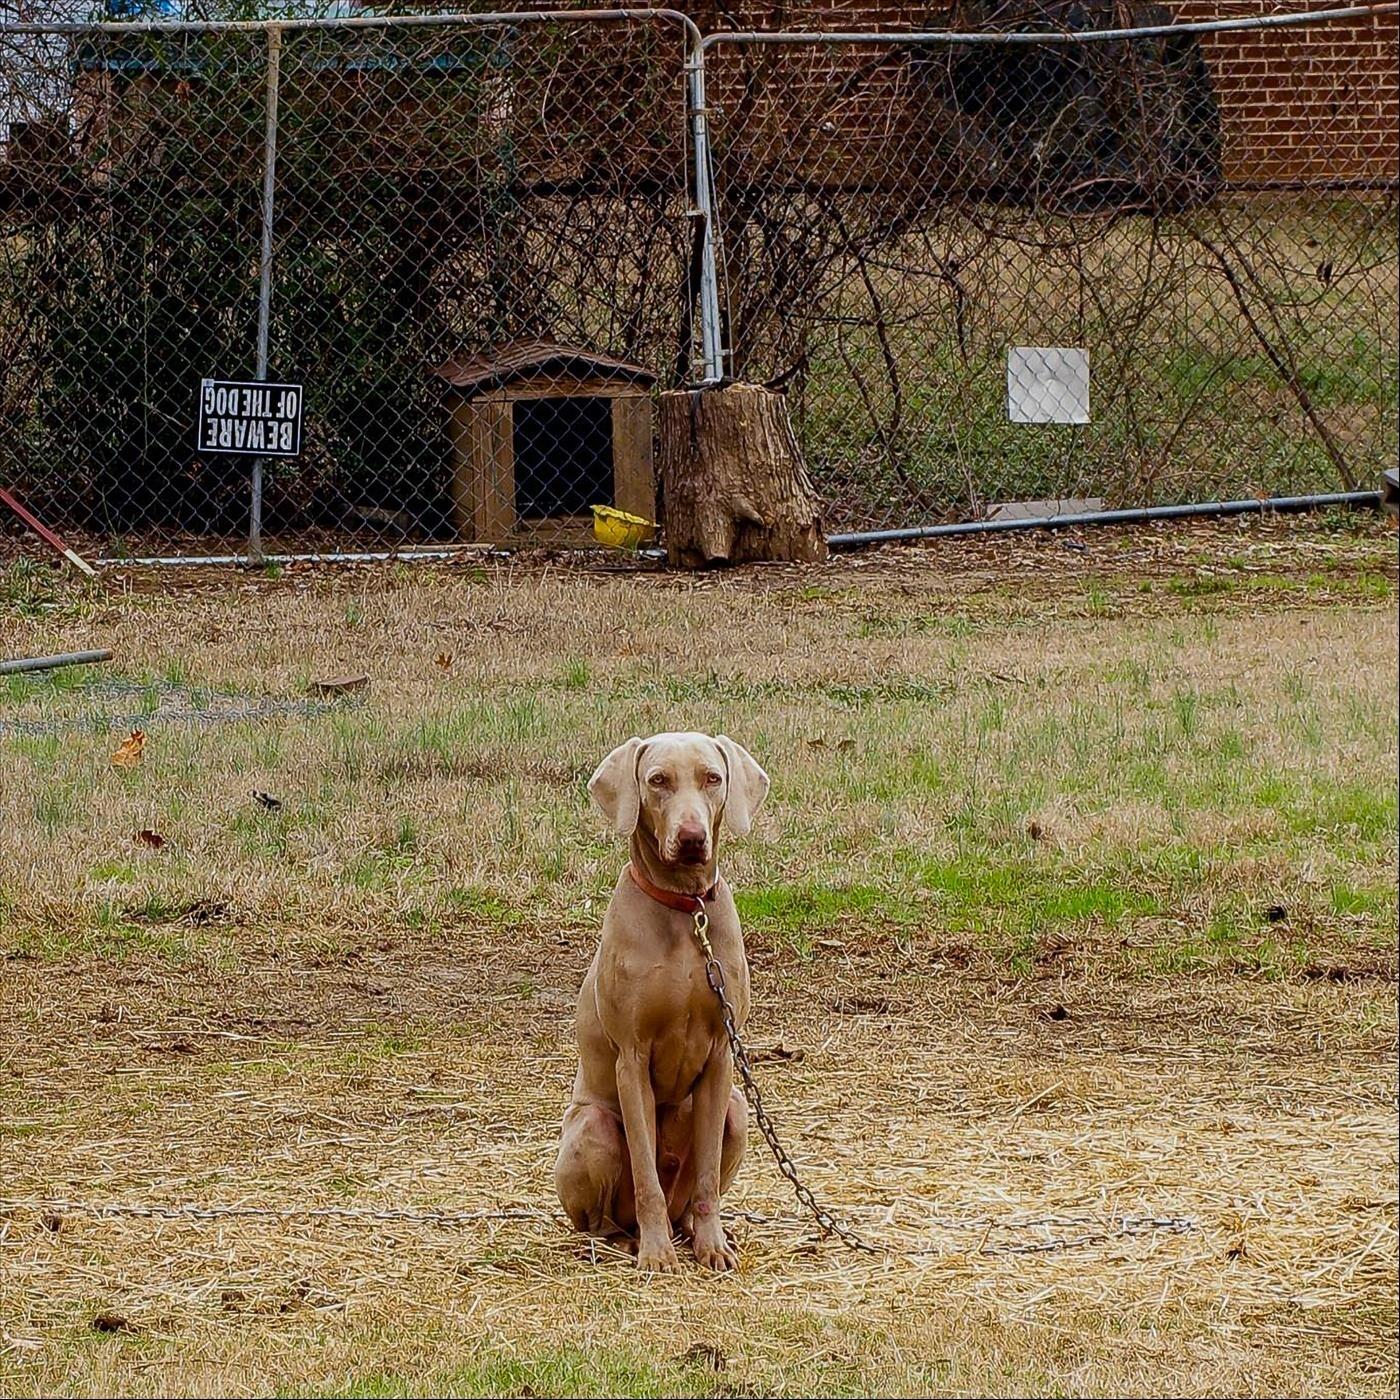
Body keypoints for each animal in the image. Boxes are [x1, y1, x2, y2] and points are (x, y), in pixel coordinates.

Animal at [554, 731, 769, 1271]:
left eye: (713, 777)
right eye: (657, 780)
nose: (692, 838)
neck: (685, 909)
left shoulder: (721, 1058)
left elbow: (708, 1177)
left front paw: (713, 1245)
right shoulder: (632, 1058)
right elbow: (647, 1172)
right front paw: (656, 1255)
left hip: (738, 1110)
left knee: (689, 1198)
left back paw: (693, 1231)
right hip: (592, 1127)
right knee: (604, 1221)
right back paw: (630, 1240)